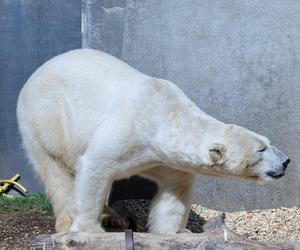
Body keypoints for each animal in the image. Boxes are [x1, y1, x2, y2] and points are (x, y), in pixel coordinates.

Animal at [16, 49, 288, 234]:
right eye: (261, 149)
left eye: (268, 141)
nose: (286, 161)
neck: (165, 116)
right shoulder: (126, 131)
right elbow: (95, 167)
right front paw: (88, 230)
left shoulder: (163, 159)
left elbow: (175, 191)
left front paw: (176, 232)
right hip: (46, 120)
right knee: (57, 172)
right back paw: (67, 221)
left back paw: (113, 216)